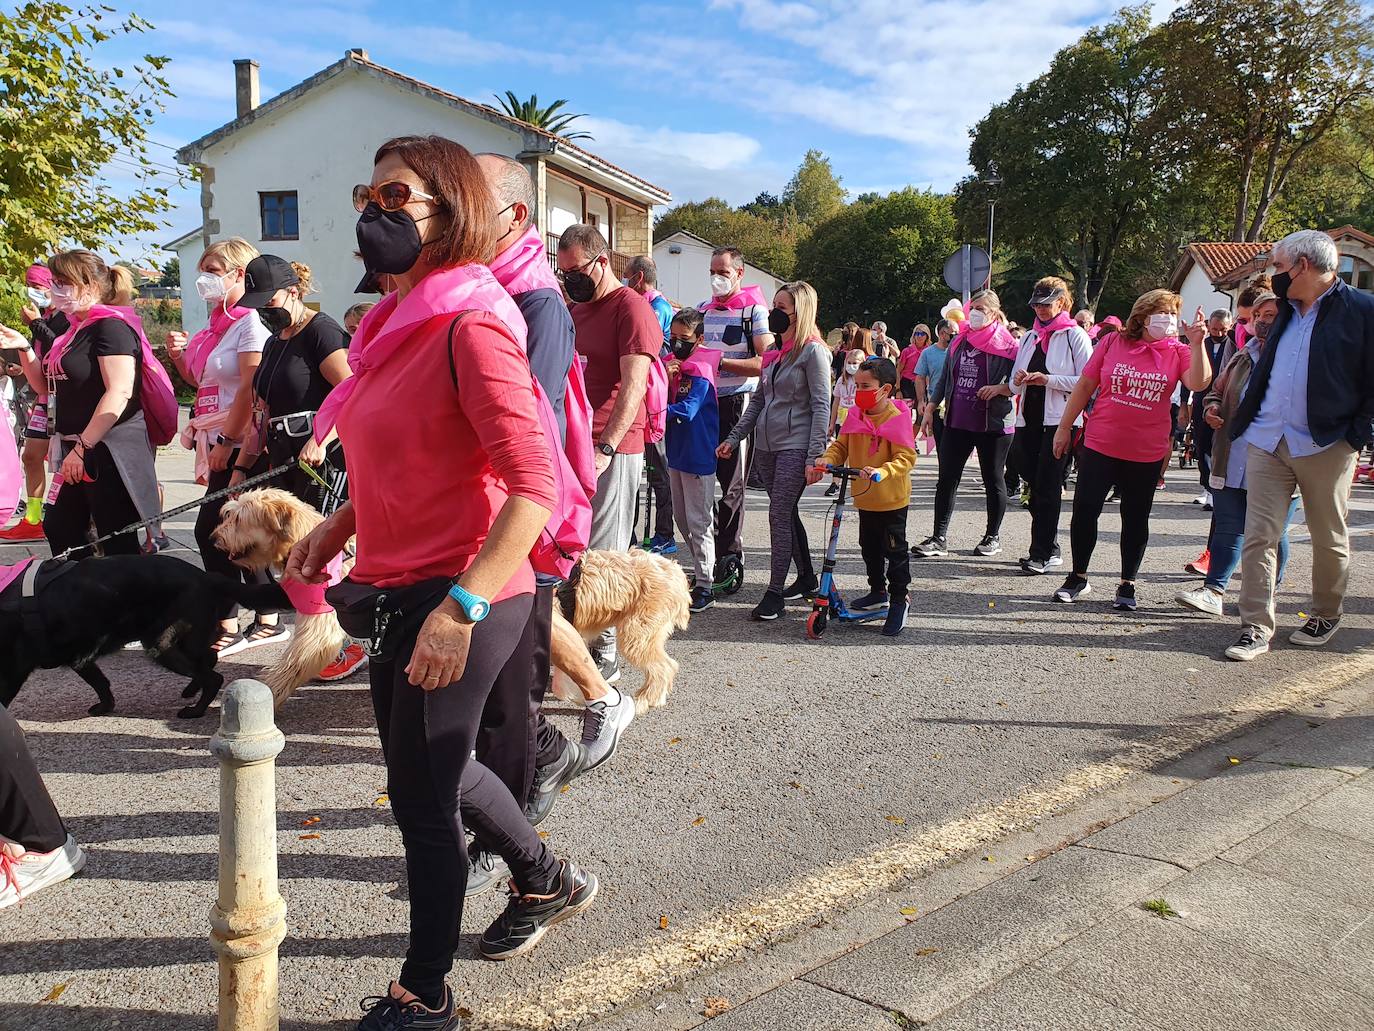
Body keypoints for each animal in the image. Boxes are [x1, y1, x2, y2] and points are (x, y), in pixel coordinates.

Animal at [0, 558, 232, 720]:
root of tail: (206, 576)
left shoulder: (13, 671)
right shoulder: (80, 659)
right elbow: (100, 682)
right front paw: (106, 707)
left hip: (163, 644)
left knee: (213, 678)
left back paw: (196, 710)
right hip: (187, 641)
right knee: (209, 659)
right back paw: (191, 689)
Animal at [222, 494, 697, 720]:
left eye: (236, 517)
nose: (213, 537)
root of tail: (674, 571)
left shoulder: (319, 626)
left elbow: (293, 662)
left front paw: (268, 692)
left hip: (639, 634)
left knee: (665, 667)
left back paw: (645, 699)